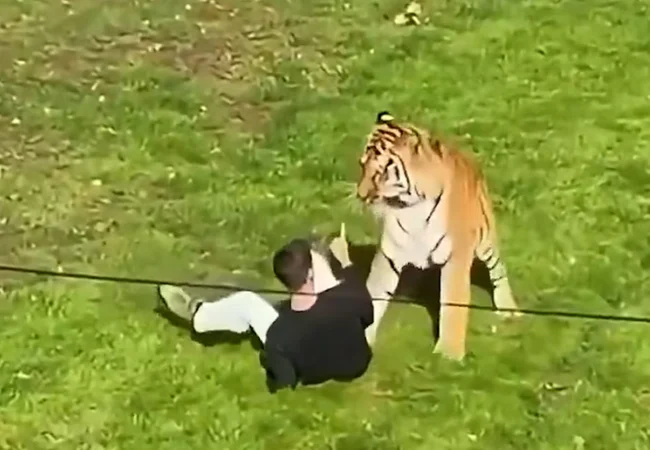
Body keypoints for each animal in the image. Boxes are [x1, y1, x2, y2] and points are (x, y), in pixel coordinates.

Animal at [356, 111, 521, 361]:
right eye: (362, 165)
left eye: (381, 172)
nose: (360, 195)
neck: (410, 207)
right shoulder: (389, 254)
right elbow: (375, 293)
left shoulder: (457, 257)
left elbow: (453, 304)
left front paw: (449, 354)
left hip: (485, 241)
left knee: (498, 269)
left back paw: (508, 308)